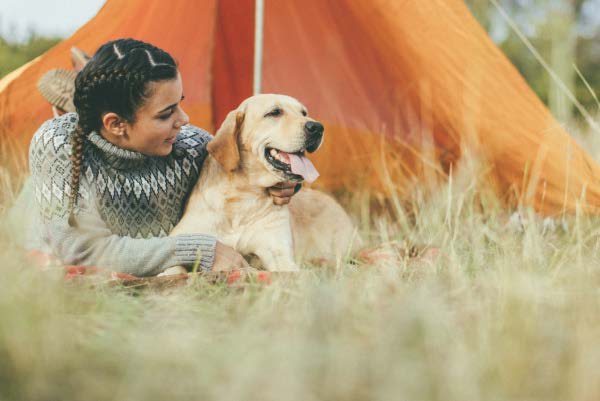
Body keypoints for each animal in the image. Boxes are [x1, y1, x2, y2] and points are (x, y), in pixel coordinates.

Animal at [164, 94, 360, 272]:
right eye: (274, 112)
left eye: (304, 112)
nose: (317, 127)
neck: (245, 195)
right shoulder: (184, 242)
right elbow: (173, 269)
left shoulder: (279, 253)